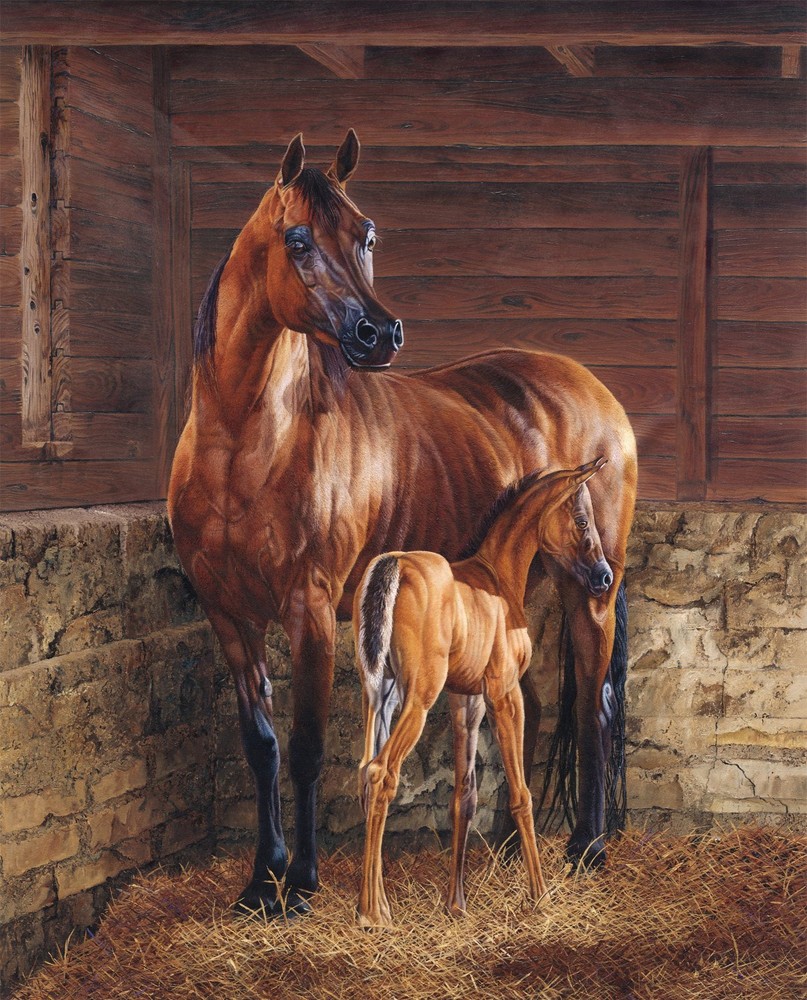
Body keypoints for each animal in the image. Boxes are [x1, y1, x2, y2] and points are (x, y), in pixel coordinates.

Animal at [354, 459, 611, 927]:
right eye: (583, 520)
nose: (604, 576)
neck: (498, 574)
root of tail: (395, 563)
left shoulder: (466, 700)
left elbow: (464, 795)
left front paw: (456, 905)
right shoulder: (504, 694)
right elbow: (521, 793)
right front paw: (540, 896)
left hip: (379, 695)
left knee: (366, 771)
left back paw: (375, 904)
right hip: (417, 699)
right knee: (382, 773)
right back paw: (373, 914)